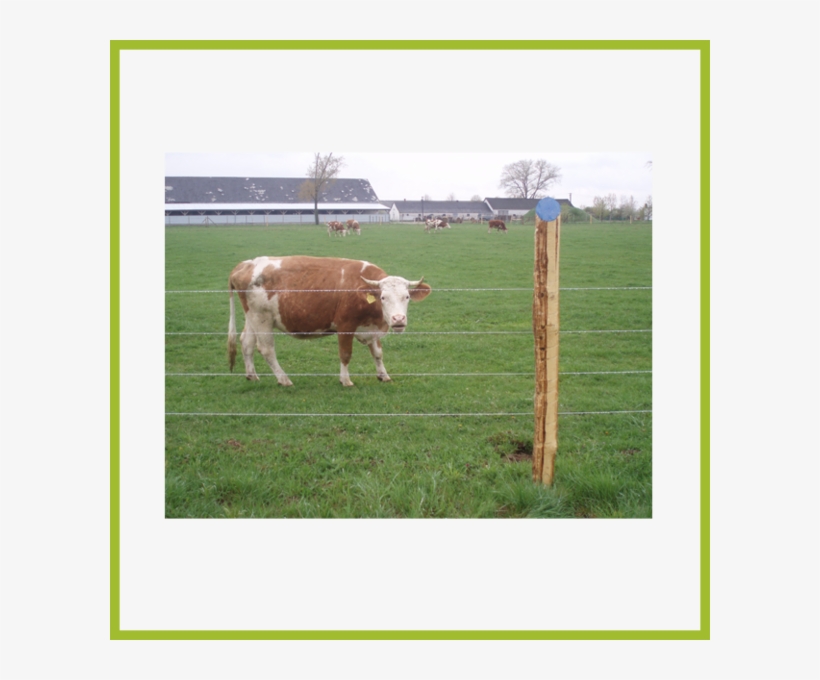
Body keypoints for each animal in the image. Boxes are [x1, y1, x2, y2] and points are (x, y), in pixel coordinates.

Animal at [228, 256, 432, 387]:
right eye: (383, 297)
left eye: (407, 297)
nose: (398, 319)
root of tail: (246, 264)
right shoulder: (345, 326)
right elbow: (345, 354)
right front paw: (345, 381)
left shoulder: (370, 328)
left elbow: (378, 353)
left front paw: (384, 376)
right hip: (262, 318)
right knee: (266, 349)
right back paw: (284, 380)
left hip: (252, 317)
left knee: (246, 343)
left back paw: (252, 376)